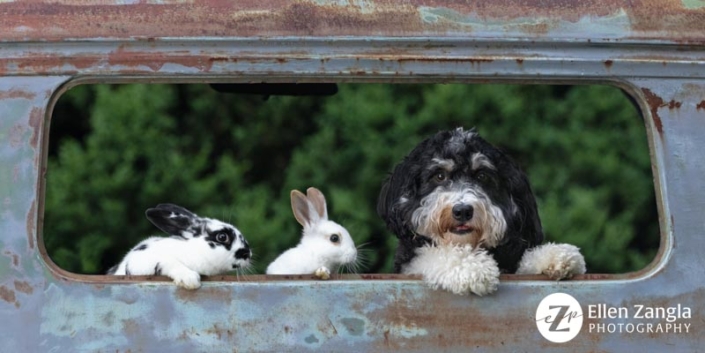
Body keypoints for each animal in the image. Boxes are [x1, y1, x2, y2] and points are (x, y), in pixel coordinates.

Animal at [376, 126, 584, 294]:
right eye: (439, 175)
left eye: (482, 176)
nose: (462, 211)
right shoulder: (409, 264)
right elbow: (431, 255)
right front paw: (472, 267)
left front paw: (557, 255)